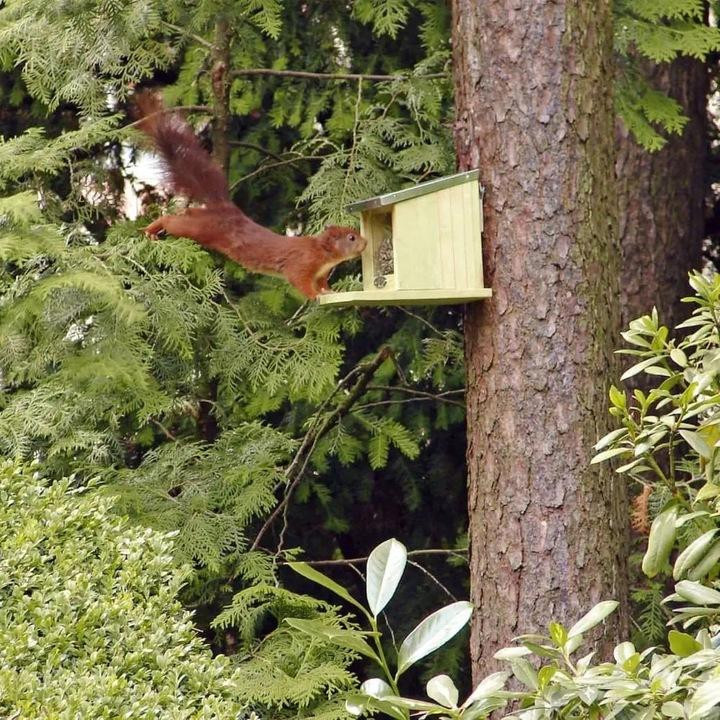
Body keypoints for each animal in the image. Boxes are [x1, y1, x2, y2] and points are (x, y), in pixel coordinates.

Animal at [135, 93, 367, 299]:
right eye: (351, 237)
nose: (365, 243)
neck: (324, 254)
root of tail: (226, 208)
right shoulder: (302, 264)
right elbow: (300, 281)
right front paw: (315, 295)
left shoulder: (320, 274)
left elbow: (323, 284)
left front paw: (329, 292)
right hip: (203, 228)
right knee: (172, 222)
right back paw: (152, 228)